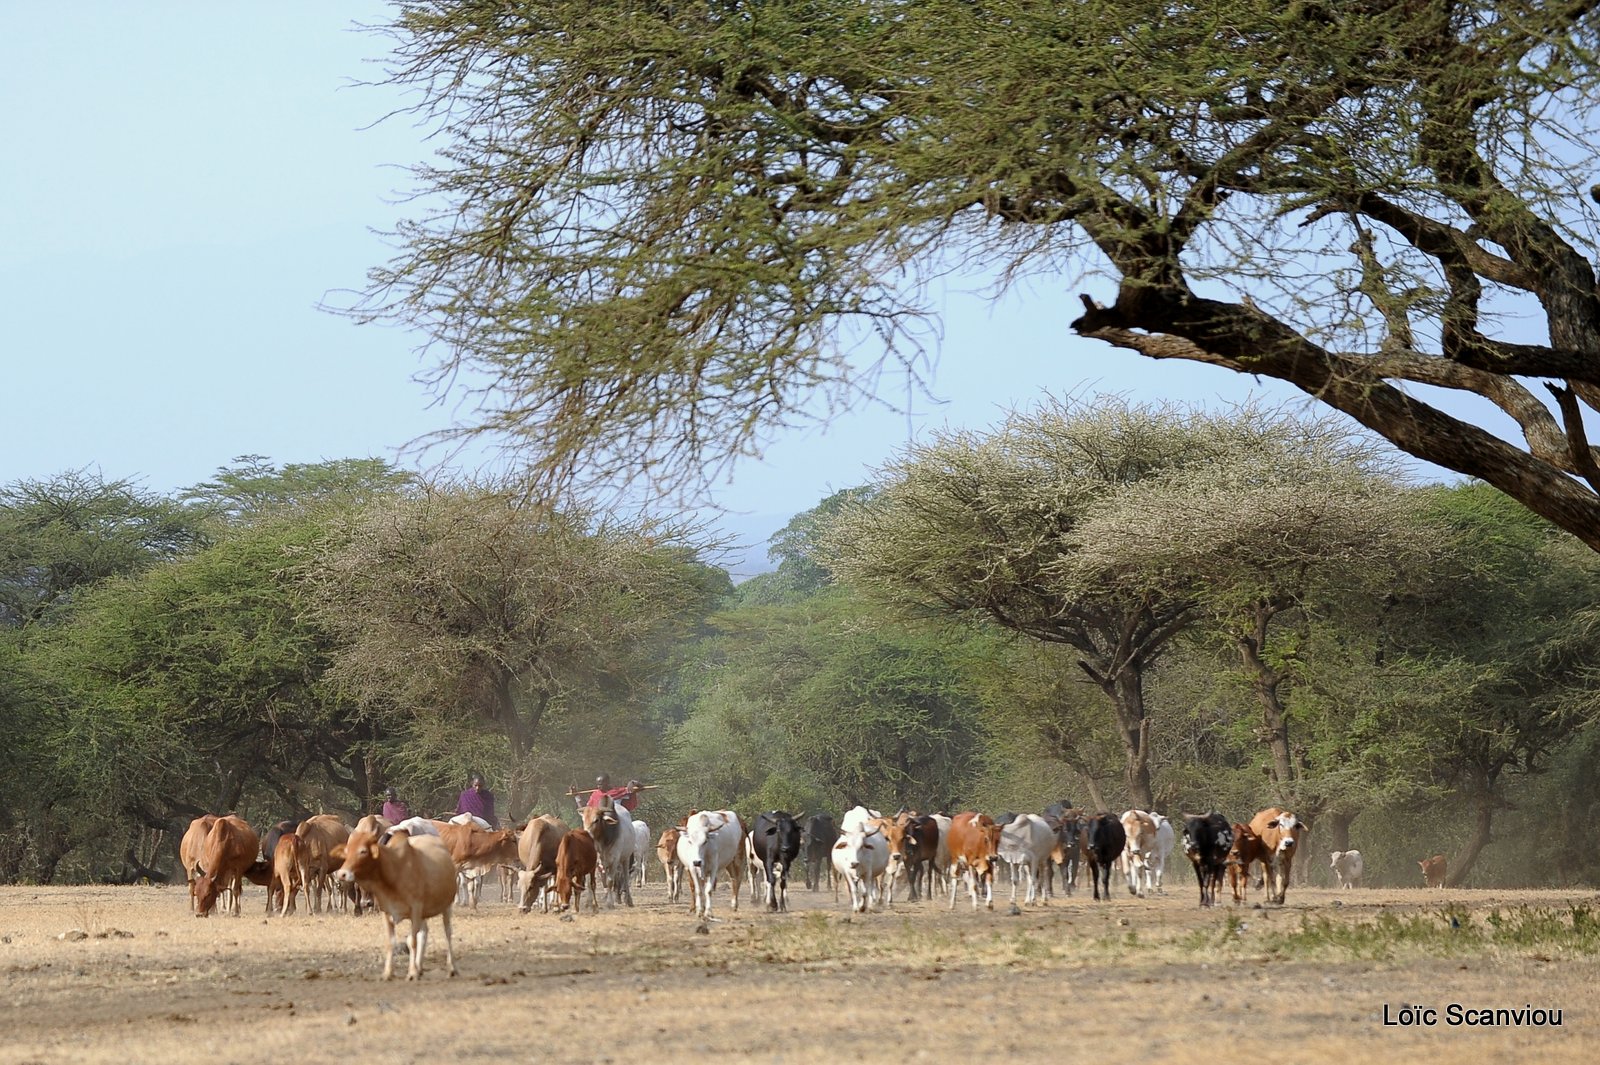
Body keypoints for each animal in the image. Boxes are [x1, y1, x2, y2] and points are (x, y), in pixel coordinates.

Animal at [331, 825, 457, 985]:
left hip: (446, 905)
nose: (342, 874)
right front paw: (388, 973)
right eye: (347, 851)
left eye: (363, 851)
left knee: (448, 933)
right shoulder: (387, 912)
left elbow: (412, 941)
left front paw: (411, 973)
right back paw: (420, 967)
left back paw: (451, 968)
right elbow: (391, 942)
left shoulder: (415, 909)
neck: (394, 871)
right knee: (424, 933)